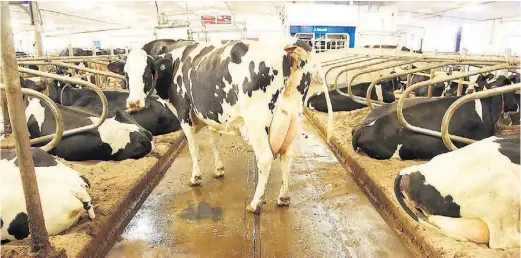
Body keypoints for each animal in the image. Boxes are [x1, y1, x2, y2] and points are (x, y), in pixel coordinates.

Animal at [123, 37, 332, 212]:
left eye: (148, 72)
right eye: (126, 74)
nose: (133, 103)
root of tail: (285, 43)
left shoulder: (184, 113)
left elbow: (193, 148)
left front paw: (196, 177)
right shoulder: (211, 114)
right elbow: (214, 141)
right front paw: (218, 169)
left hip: (256, 121)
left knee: (265, 158)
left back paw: (255, 203)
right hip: (290, 117)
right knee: (287, 156)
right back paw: (283, 197)